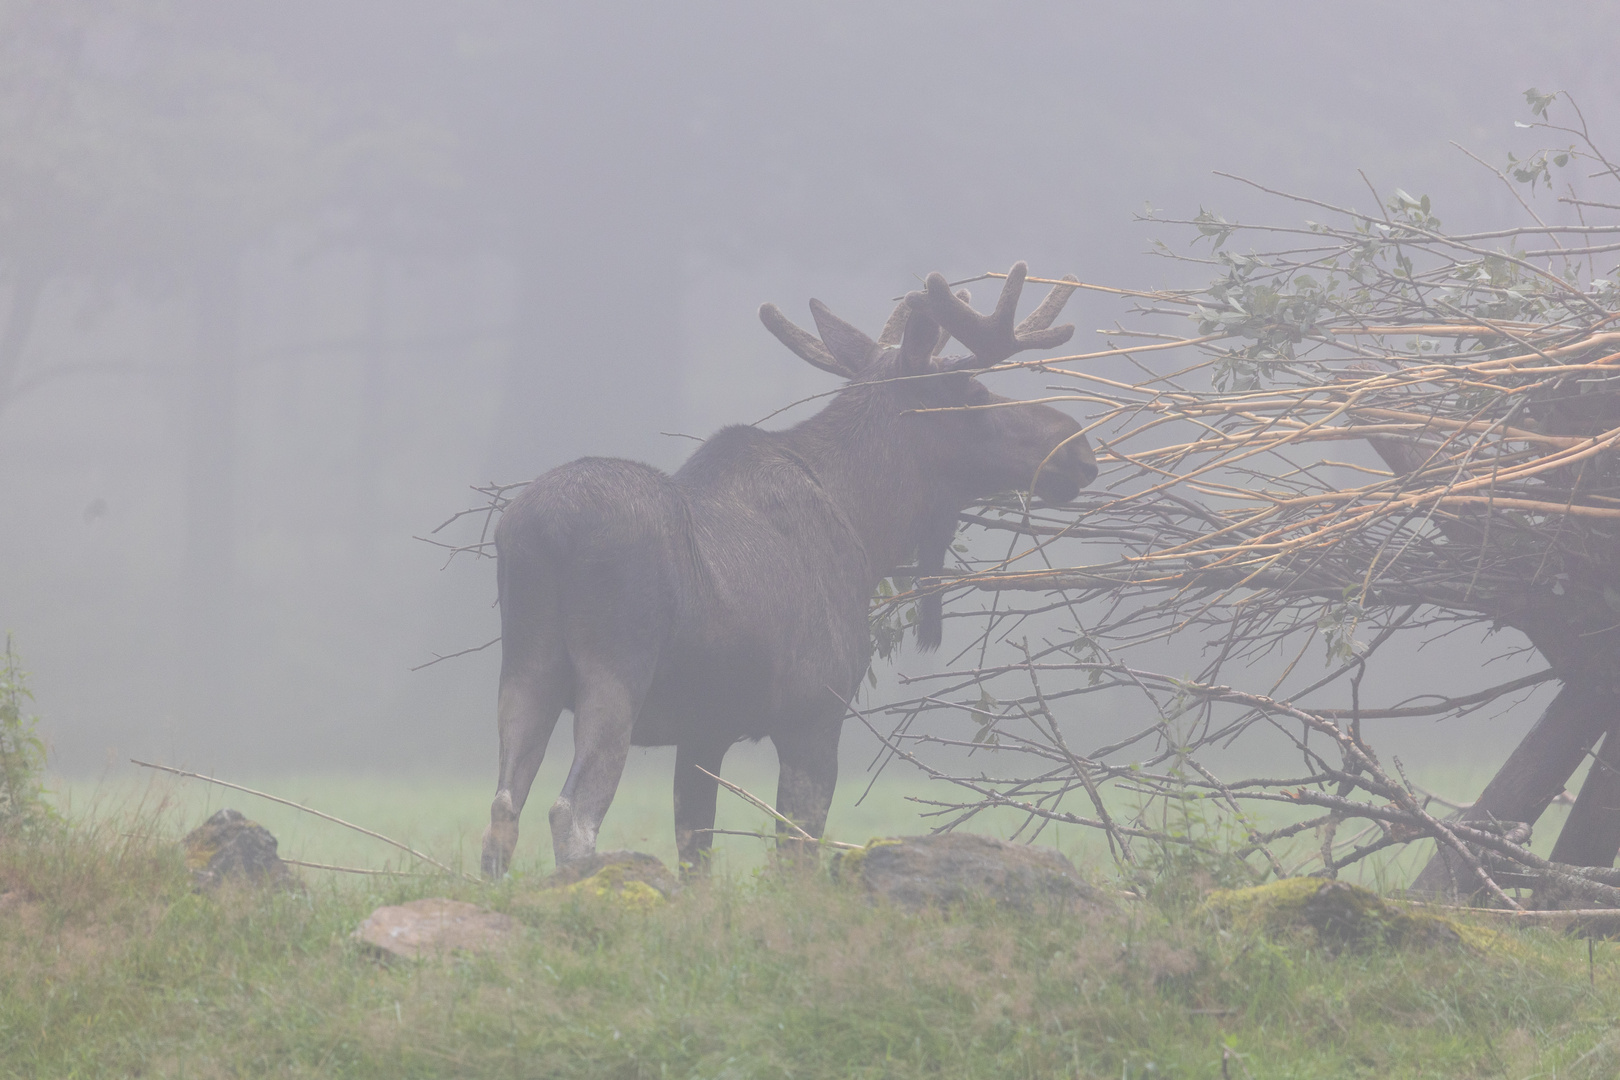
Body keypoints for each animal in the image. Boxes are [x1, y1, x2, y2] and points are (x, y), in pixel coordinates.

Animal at [473, 262, 1095, 880]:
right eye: (973, 391)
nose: (1079, 449)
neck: (868, 529)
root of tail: (545, 529)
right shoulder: (815, 713)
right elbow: (797, 853)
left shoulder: (704, 732)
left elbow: (697, 855)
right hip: (615, 668)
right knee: (572, 812)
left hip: (525, 666)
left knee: (502, 807)